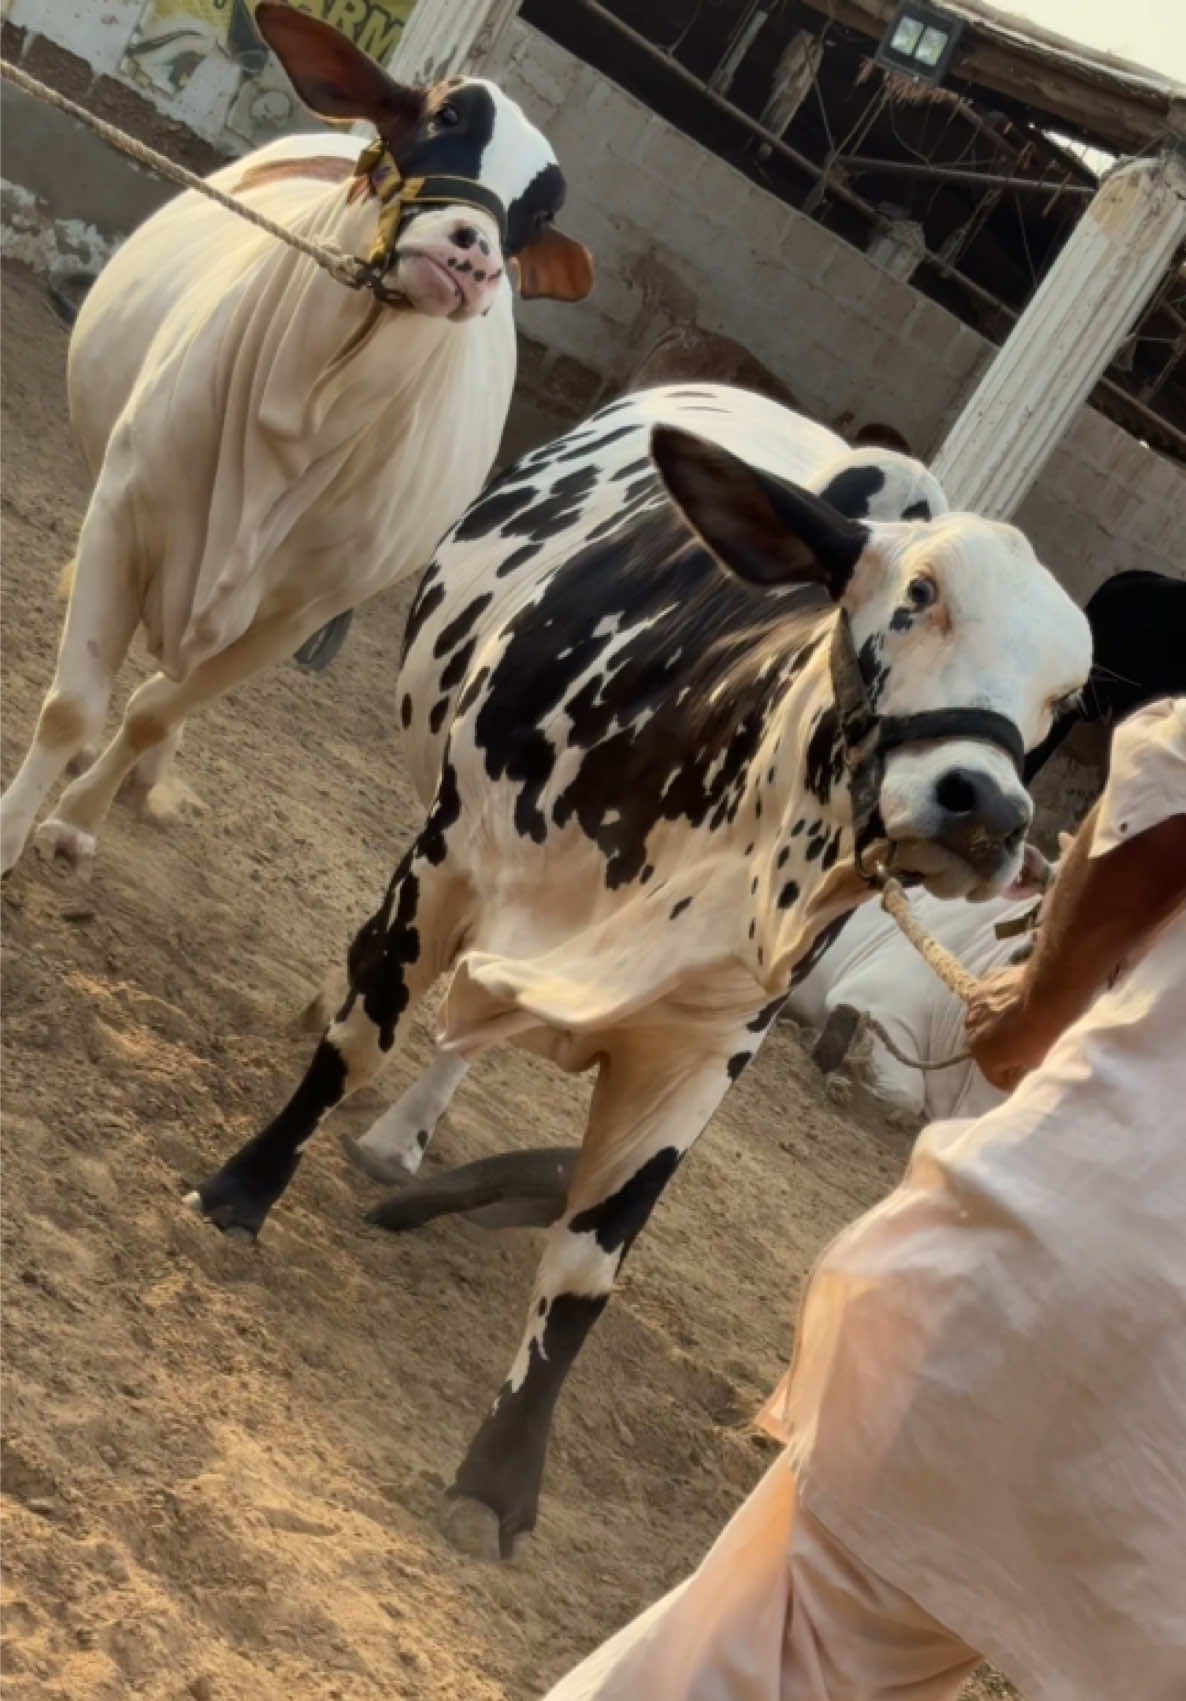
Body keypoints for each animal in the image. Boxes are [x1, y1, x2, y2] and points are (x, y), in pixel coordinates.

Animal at [0, 3, 592, 877]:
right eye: (445, 116)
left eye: (541, 213)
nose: (474, 258)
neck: (298, 416)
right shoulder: (122, 515)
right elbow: (73, 705)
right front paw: (14, 826)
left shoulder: (296, 613)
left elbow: (150, 711)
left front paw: (77, 819)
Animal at [186, 383, 1090, 1559]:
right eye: (920, 593)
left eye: (1068, 699)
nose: (987, 809)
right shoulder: (445, 868)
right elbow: (356, 1041)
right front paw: (241, 1189)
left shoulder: (706, 1046)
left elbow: (587, 1266)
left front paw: (498, 1477)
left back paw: (408, 1144)